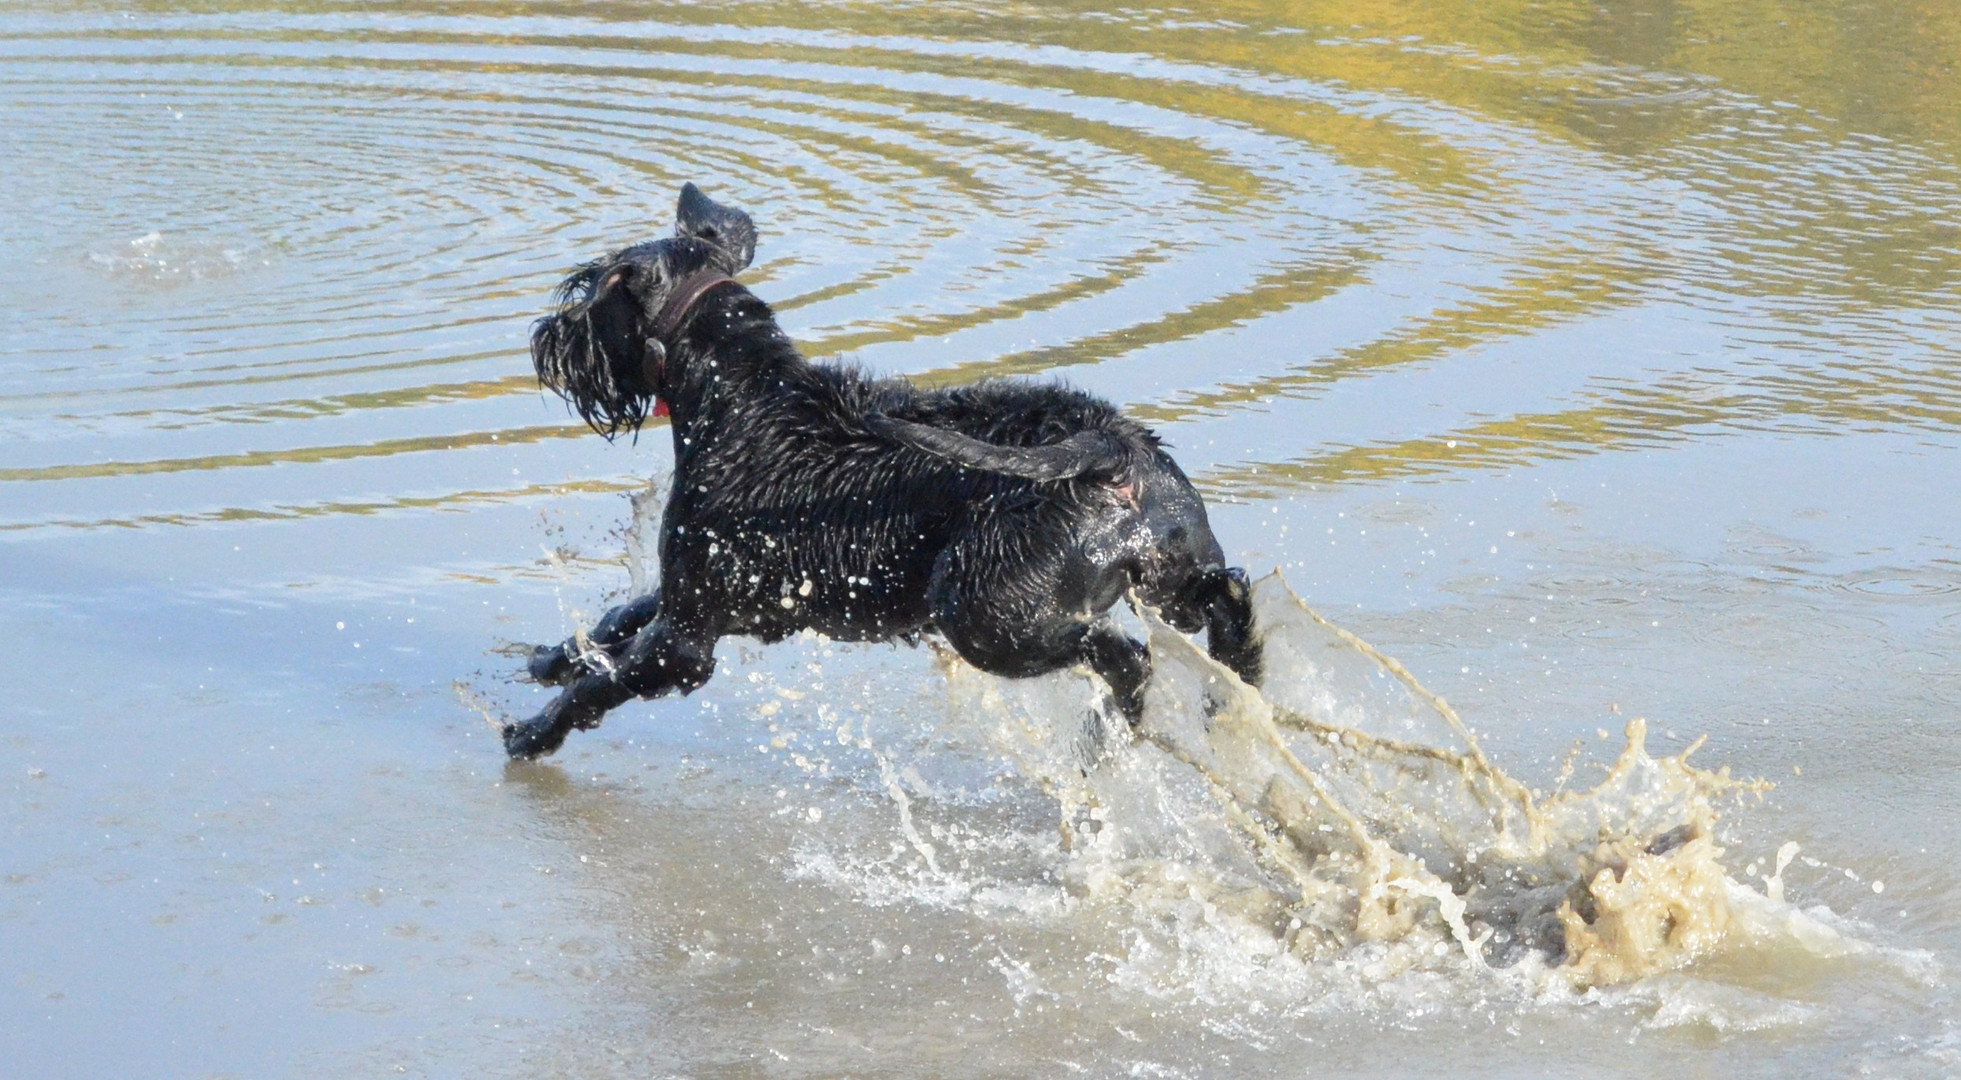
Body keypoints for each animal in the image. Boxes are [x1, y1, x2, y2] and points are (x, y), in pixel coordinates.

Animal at [505, 184, 1262, 760]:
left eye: (591, 288)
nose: (546, 338)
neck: (738, 392)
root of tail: (1114, 448)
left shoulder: (687, 638)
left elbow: (602, 684)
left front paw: (532, 732)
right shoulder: (688, 591)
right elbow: (616, 620)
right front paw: (552, 657)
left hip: (985, 611)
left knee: (1123, 655)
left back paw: (1112, 729)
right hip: (1168, 567)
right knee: (1224, 593)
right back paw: (1235, 687)